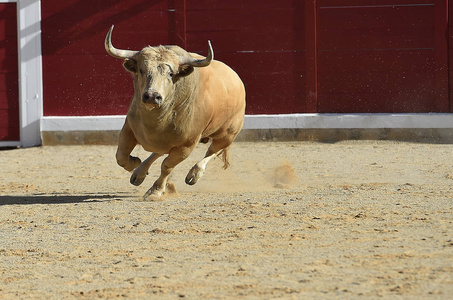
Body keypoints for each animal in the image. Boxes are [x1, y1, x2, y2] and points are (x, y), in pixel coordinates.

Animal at [104, 25, 245, 199]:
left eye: (171, 73)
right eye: (141, 70)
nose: (152, 96)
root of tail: (236, 79)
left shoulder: (187, 145)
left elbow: (167, 166)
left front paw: (156, 191)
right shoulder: (128, 129)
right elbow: (121, 157)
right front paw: (135, 163)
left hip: (228, 134)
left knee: (212, 151)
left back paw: (194, 174)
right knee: (159, 152)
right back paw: (139, 173)